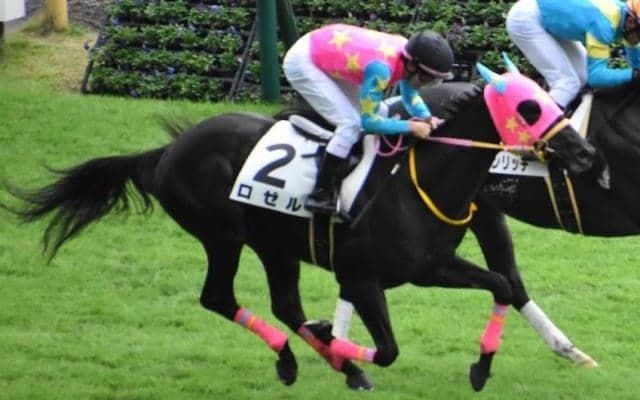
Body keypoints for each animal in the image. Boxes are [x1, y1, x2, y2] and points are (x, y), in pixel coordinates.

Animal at [1, 62, 594, 391]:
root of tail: (168, 150)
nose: (585, 153)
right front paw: (342, 345)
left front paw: (481, 369)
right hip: (223, 235)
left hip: (274, 243)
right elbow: (387, 348)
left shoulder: (433, 266)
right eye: (529, 106)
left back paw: (325, 361)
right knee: (219, 297)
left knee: (284, 303)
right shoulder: (362, 277)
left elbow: (499, 285)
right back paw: (300, 358)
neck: (421, 180)